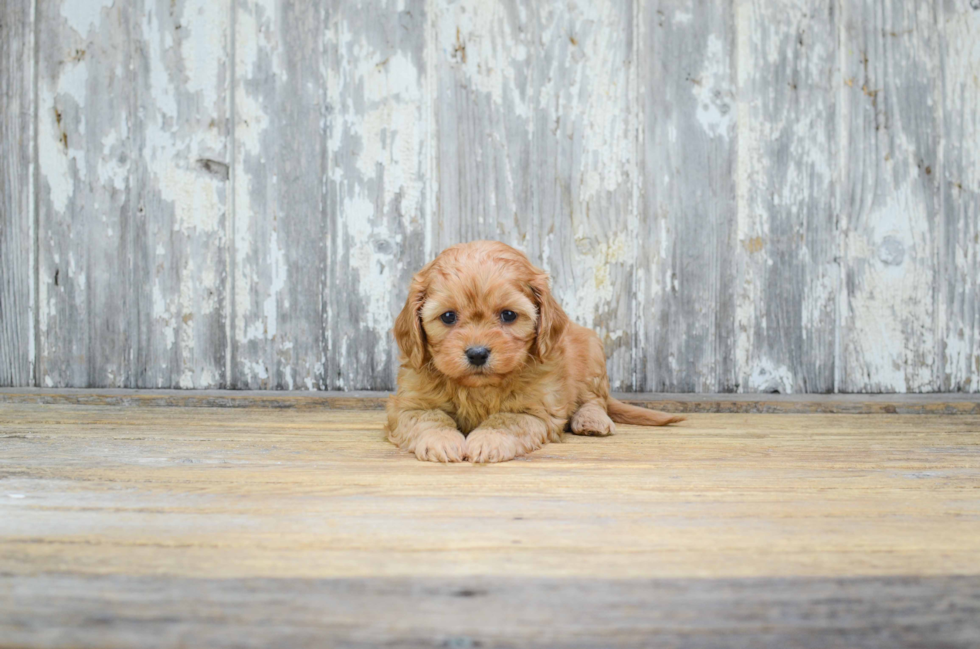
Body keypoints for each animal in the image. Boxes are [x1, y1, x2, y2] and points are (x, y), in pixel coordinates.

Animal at [382, 239, 680, 460]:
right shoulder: (408, 404)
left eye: (508, 315)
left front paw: (487, 440)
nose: (477, 353)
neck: (479, 389)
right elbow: (428, 418)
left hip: (592, 353)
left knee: (595, 399)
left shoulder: (536, 409)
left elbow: (506, 420)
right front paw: (442, 441)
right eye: (447, 317)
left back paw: (592, 421)